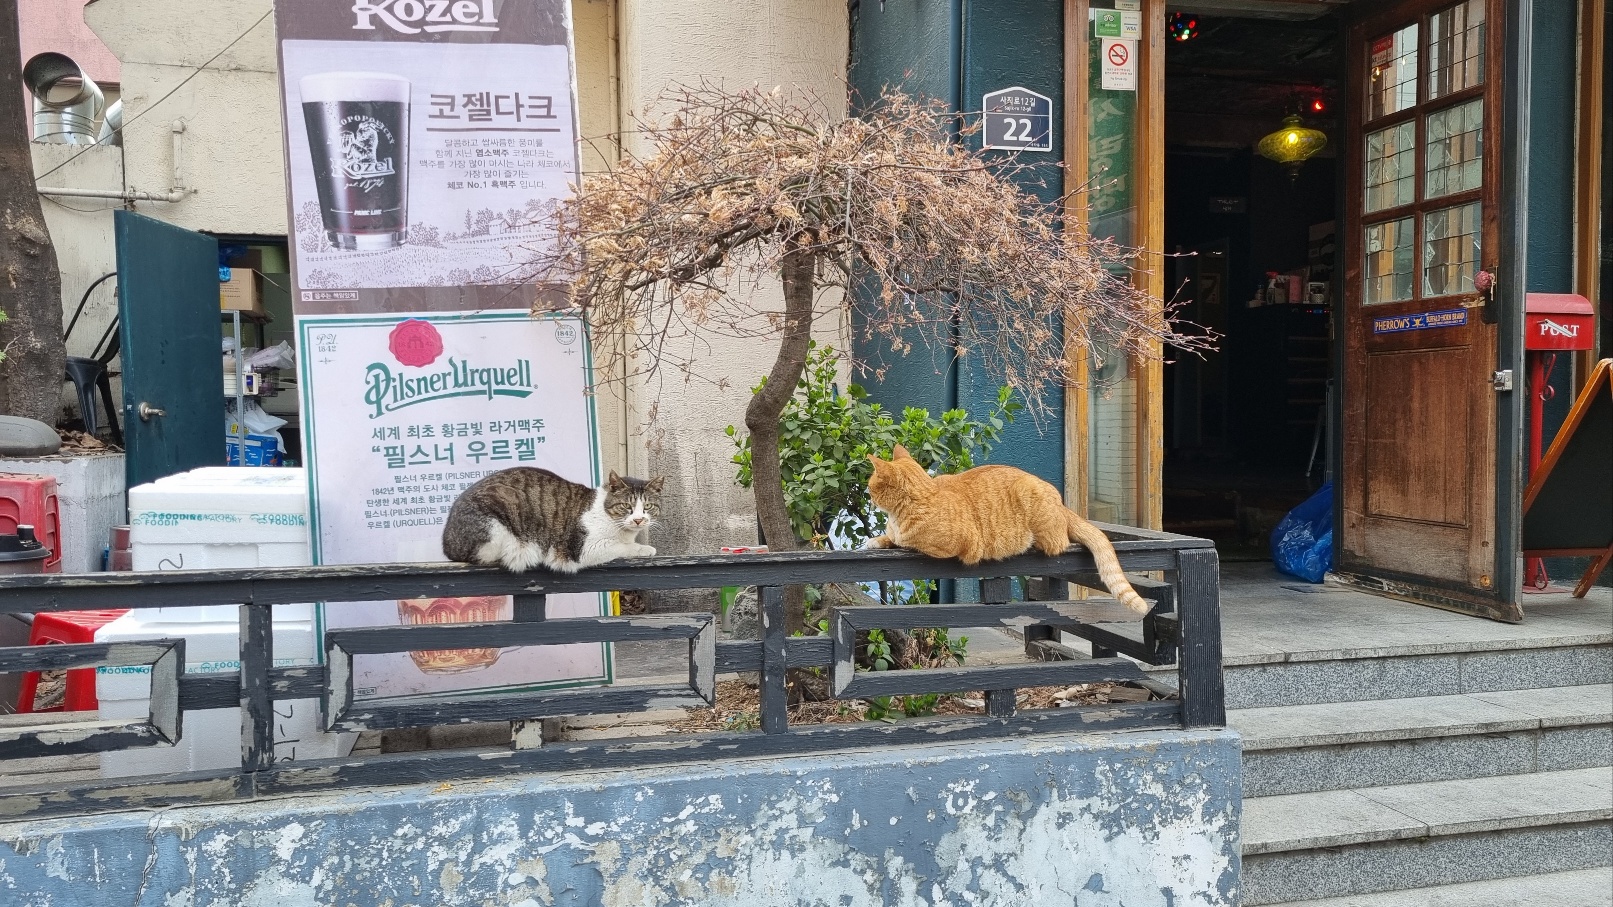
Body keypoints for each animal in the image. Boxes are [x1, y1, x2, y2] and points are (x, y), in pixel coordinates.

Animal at [441, 464, 661, 571]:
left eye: (648, 507)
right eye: (626, 506)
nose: (639, 520)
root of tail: (447, 541)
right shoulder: (584, 548)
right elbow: (623, 547)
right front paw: (645, 548)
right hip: (497, 522)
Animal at [871, 442, 1148, 610]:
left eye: (871, 485)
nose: (867, 492)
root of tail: (1062, 504)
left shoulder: (957, 545)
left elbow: (910, 543)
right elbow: (888, 537)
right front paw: (876, 540)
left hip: (1032, 500)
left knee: (1058, 542)